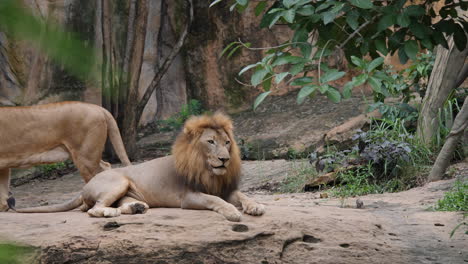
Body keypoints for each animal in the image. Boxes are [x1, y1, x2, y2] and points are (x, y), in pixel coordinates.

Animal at [1, 101, 132, 210]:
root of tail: (99, 108)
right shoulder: (4, 166)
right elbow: (3, 188)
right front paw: (4, 207)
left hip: (85, 157)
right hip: (87, 154)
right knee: (106, 166)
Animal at [16, 111, 266, 221]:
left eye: (227, 143)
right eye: (211, 142)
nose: (224, 159)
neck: (208, 171)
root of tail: (83, 187)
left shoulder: (225, 188)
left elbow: (243, 195)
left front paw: (255, 206)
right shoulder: (189, 196)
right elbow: (215, 200)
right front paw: (232, 211)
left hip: (128, 191)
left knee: (115, 204)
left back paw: (136, 208)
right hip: (118, 181)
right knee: (93, 209)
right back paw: (110, 212)